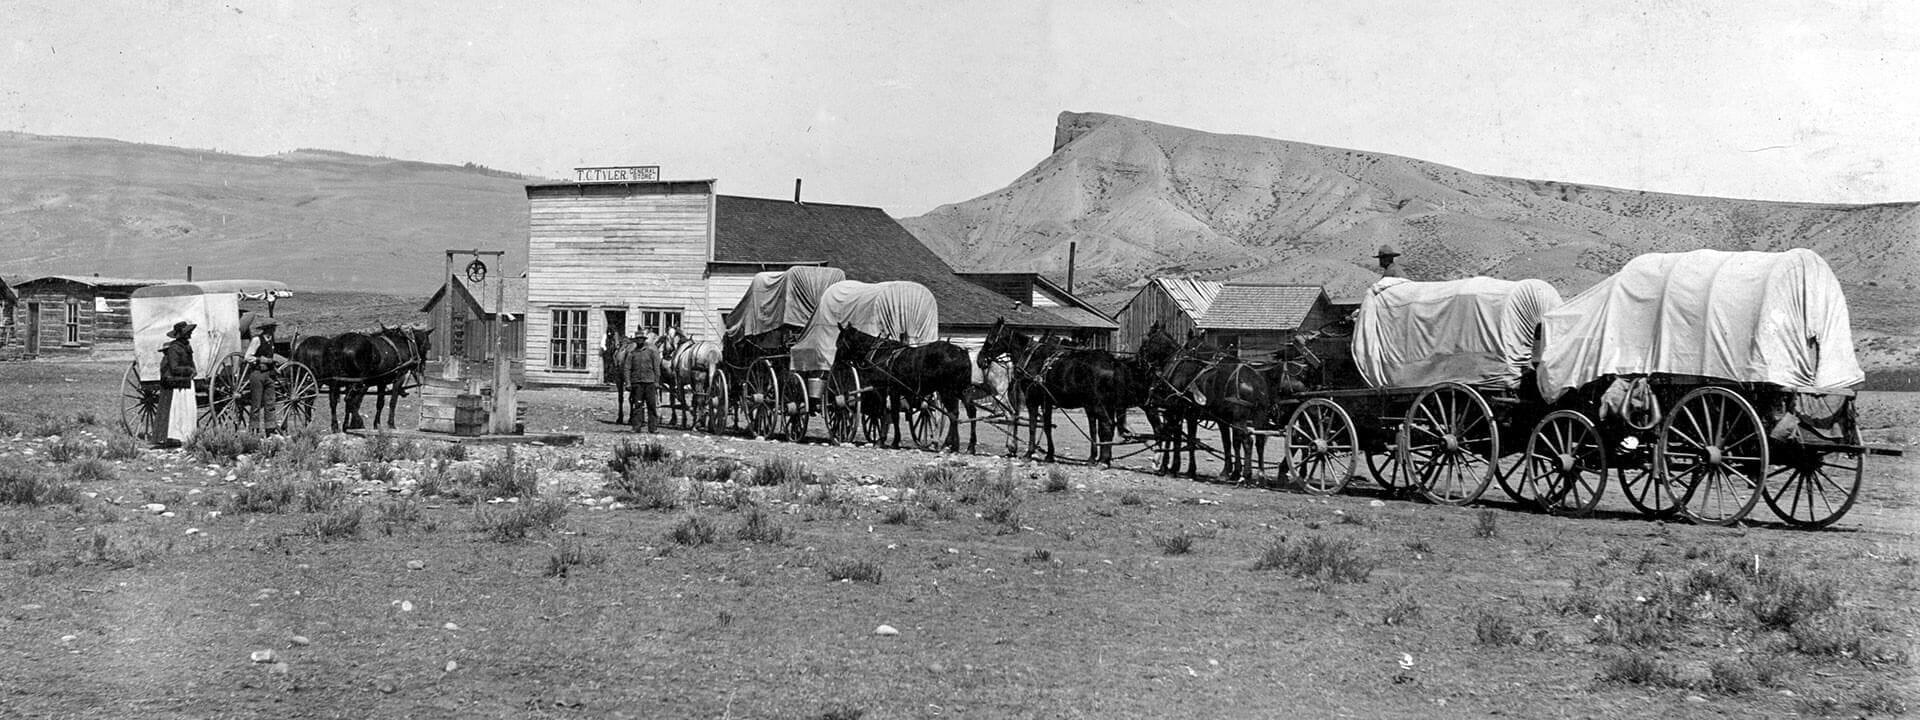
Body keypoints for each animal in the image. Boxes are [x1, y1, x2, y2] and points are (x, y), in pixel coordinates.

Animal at [840, 326, 975, 453]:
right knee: (969, 412)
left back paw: (953, 446)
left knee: (953, 414)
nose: (839, 361)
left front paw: (891, 441)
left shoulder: (889, 390)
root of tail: (961, 352)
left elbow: (890, 414)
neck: (882, 355)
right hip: (962, 390)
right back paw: (967, 446)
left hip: (947, 391)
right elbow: (888, 413)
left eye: (840, 342)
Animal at [975, 318, 1136, 464]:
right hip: (1105, 404)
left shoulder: (1033, 399)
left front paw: (1029, 453)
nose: (980, 359)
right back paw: (1099, 458)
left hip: (1098, 404)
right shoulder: (1047, 401)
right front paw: (1049, 455)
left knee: (1107, 425)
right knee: (1104, 427)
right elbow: (1047, 426)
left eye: (990, 338)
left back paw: (1103, 460)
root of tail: (1112, 362)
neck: (1033, 359)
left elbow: (1033, 426)